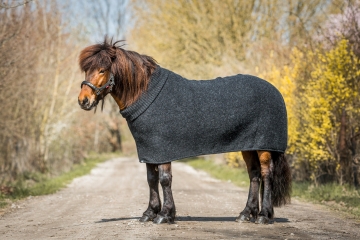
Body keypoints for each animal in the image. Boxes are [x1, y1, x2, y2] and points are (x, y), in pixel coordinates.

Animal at [77, 38, 292, 225]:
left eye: (102, 69)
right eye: (86, 70)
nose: (83, 100)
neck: (144, 92)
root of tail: (275, 91)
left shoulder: (162, 149)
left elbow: (164, 179)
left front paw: (164, 215)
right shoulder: (149, 150)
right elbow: (151, 179)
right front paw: (149, 213)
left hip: (264, 146)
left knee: (266, 174)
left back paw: (263, 215)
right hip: (248, 146)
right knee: (254, 175)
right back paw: (246, 214)